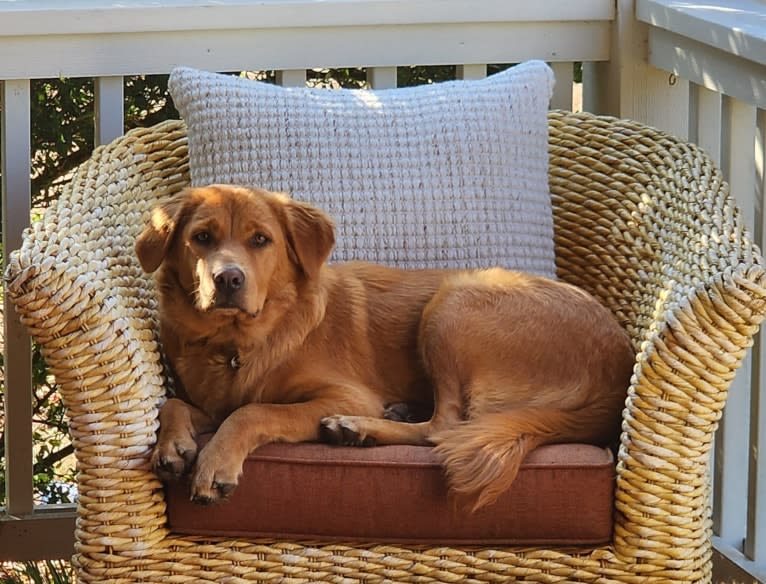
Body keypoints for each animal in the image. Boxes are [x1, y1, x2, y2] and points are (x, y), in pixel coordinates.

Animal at [136, 185, 636, 508]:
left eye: (261, 240)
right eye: (201, 237)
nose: (228, 279)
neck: (237, 344)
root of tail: (616, 373)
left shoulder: (344, 393)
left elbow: (253, 412)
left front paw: (215, 463)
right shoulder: (211, 402)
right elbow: (176, 404)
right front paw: (175, 445)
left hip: (452, 302)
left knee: (446, 427)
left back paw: (358, 428)